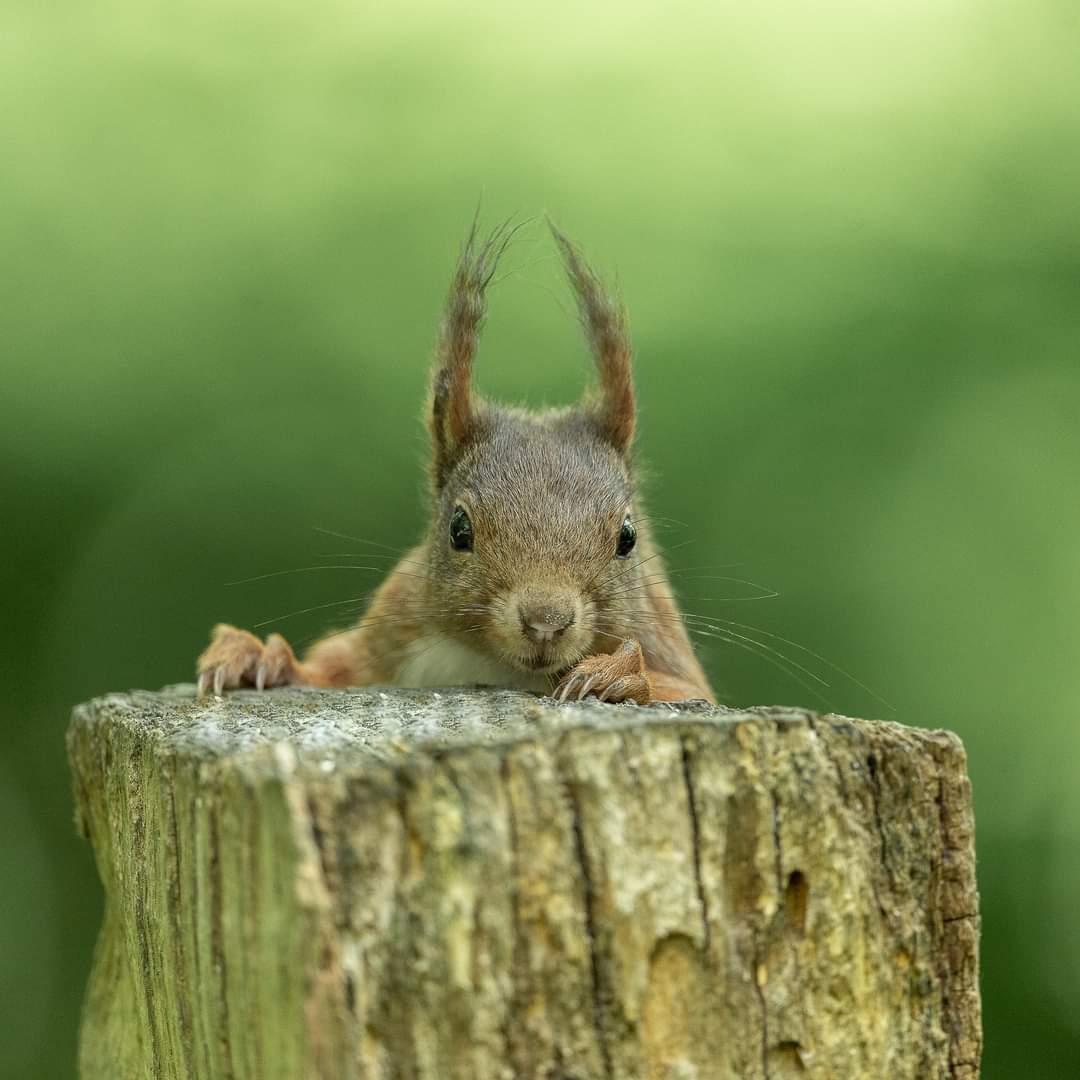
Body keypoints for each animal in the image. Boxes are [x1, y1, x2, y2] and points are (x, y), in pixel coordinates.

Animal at [194, 223, 717, 704]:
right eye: (458, 529)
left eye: (628, 538)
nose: (545, 623)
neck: (495, 665)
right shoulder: (388, 634)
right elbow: (324, 671)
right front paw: (256, 656)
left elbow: (685, 689)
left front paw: (616, 674)